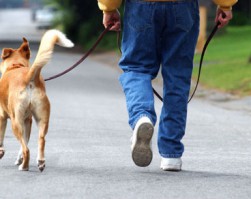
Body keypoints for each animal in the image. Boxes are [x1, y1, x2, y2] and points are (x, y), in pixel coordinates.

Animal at [0, 29, 73, 171]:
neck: (16, 66)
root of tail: (28, 77)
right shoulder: (27, 121)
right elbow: (25, 142)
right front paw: (19, 158)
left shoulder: (2, 117)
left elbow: (2, 139)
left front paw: (1, 152)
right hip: (41, 119)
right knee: (41, 140)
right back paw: (40, 161)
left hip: (15, 122)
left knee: (26, 149)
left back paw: (24, 167)